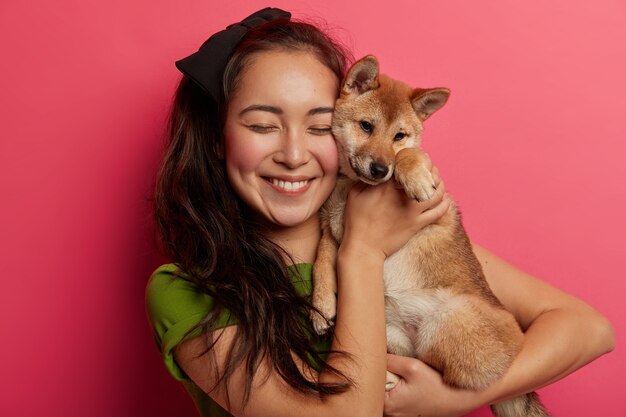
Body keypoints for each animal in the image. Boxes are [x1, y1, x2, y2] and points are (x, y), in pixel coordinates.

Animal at [310, 55, 548, 416]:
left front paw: (415, 177)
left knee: (442, 376)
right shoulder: (330, 227)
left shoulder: (439, 206)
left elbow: (412, 157)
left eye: (400, 136)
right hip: (392, 332)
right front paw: (321, 304)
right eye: (366, 126)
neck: (350, 188)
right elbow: (321, 259)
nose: (380, 169)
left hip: (447, 321)